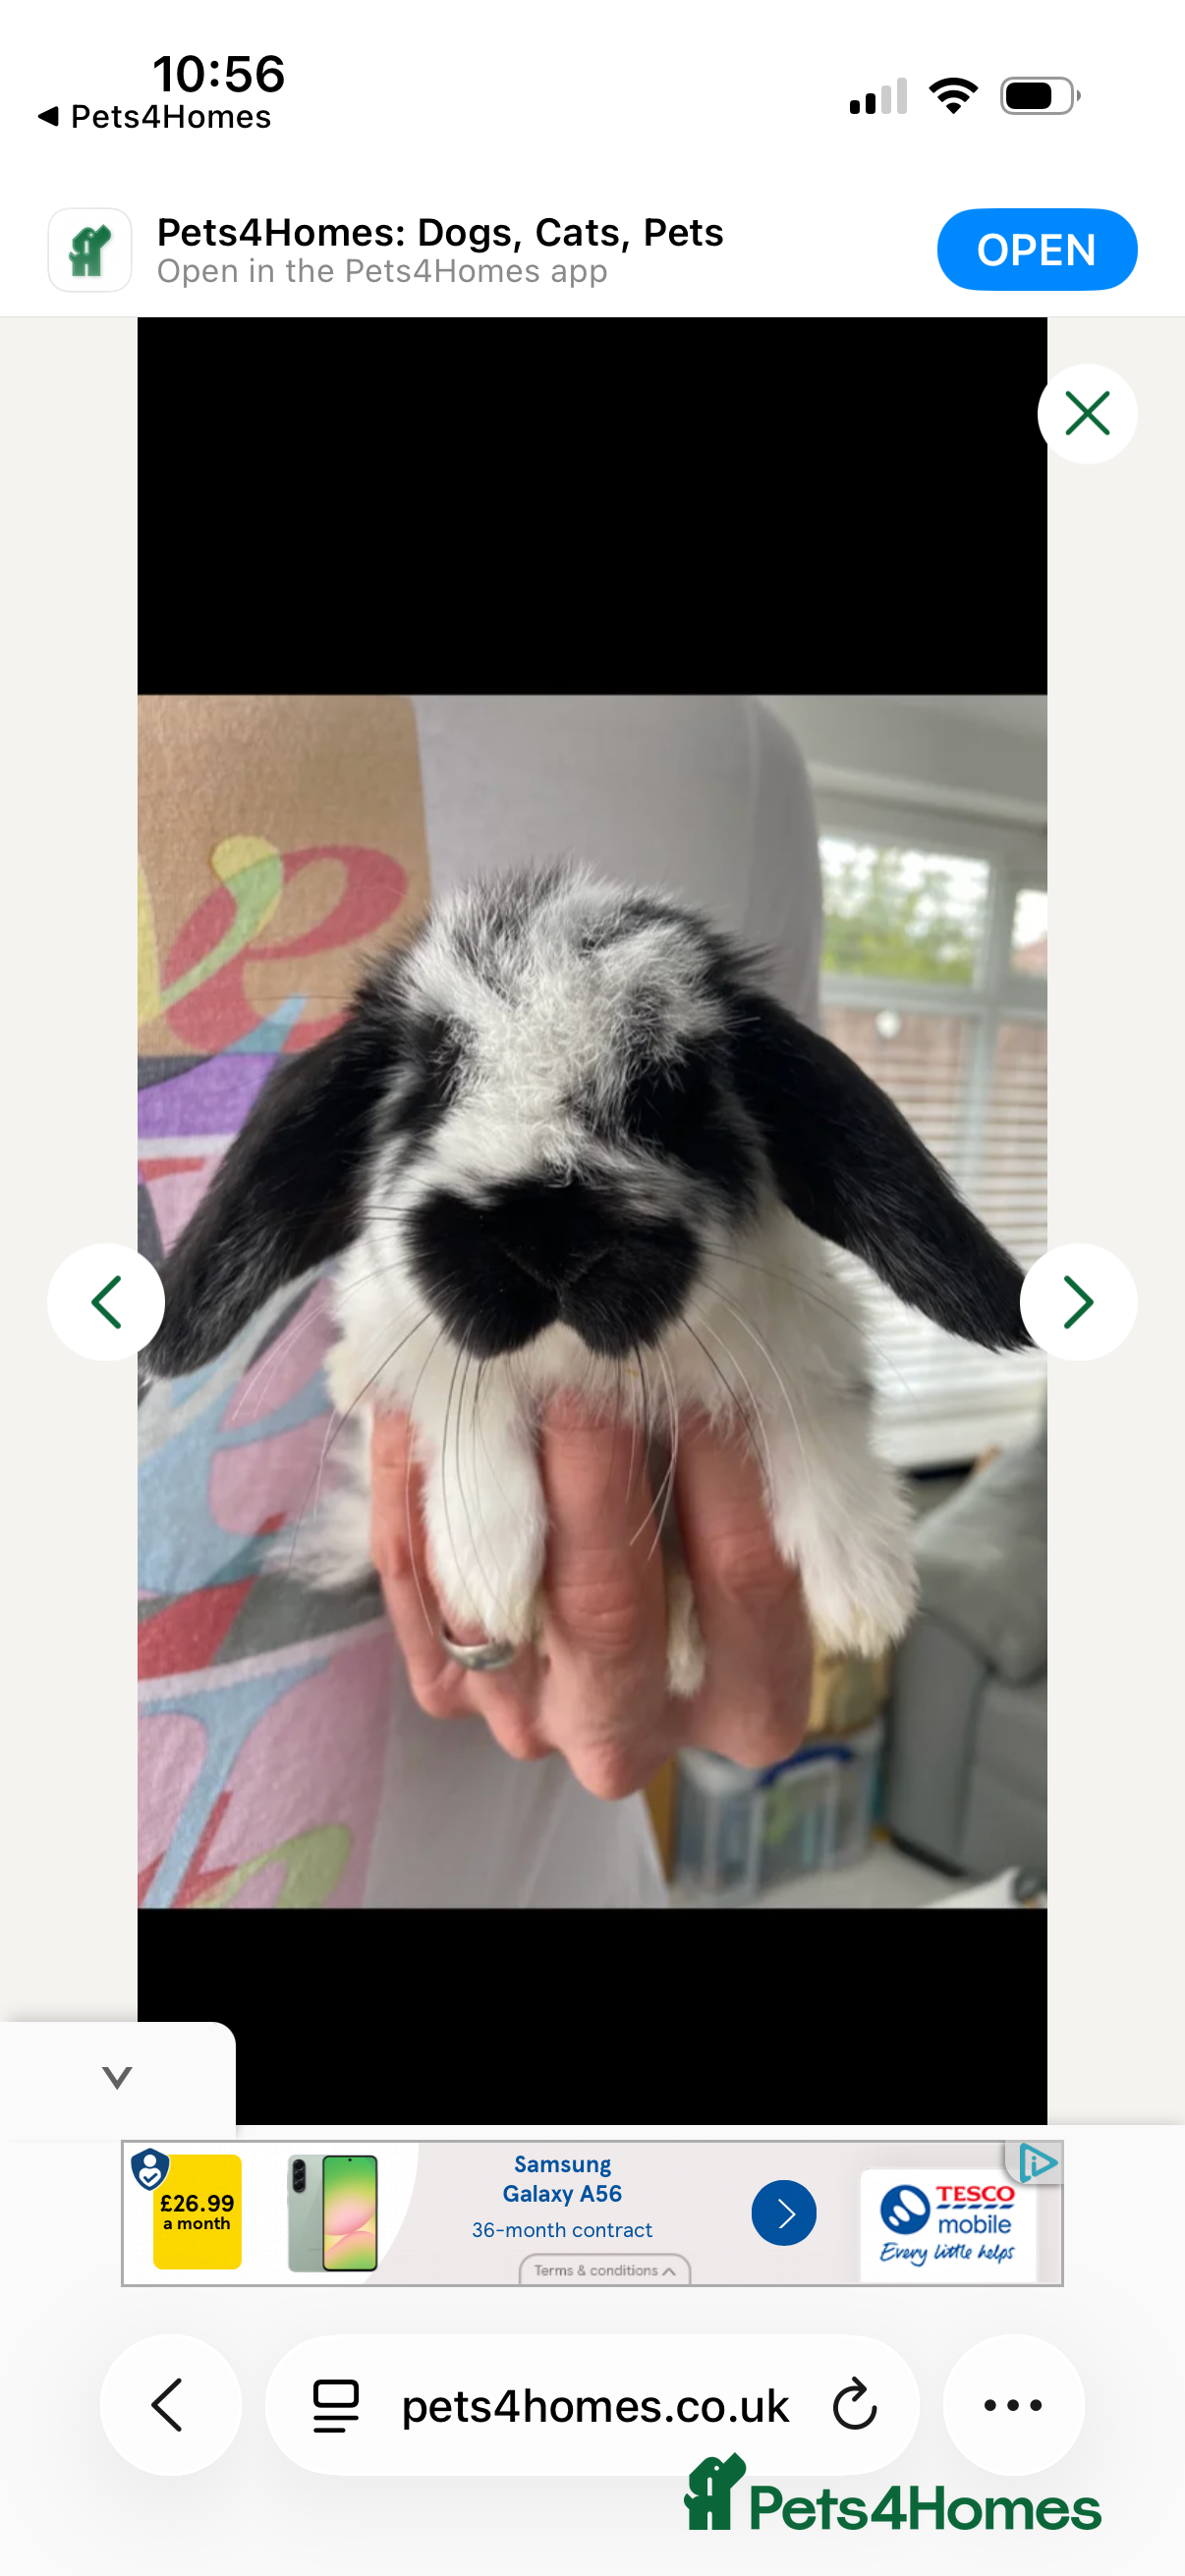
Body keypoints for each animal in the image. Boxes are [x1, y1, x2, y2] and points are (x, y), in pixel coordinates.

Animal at [146, 860, 1029, 1695]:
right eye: (429, 1080)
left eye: (670, 1091)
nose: (546, 1234)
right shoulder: (412, 1344)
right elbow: (463, 1398)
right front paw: (488, 1571)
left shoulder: (801, 1334)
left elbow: (818, 1418)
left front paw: (866, 1590)